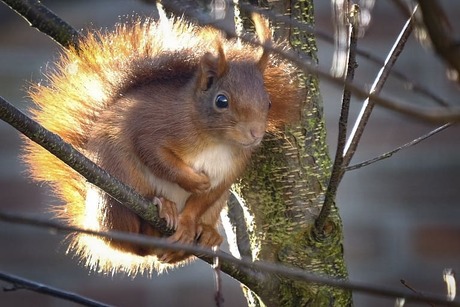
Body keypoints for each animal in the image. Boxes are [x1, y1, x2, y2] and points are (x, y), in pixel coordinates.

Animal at [22, 13, 302, 276]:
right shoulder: (153, 129)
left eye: (268, 102)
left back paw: (206, 234)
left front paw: (189, 223)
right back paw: (160, 207)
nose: (255, 133)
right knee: (134, 236)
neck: (216, 141)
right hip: (117, 190)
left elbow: (204, 198)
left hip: (215, 206)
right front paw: (195, 181)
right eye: (221, 101)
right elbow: (156, 156)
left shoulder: (229, 171)